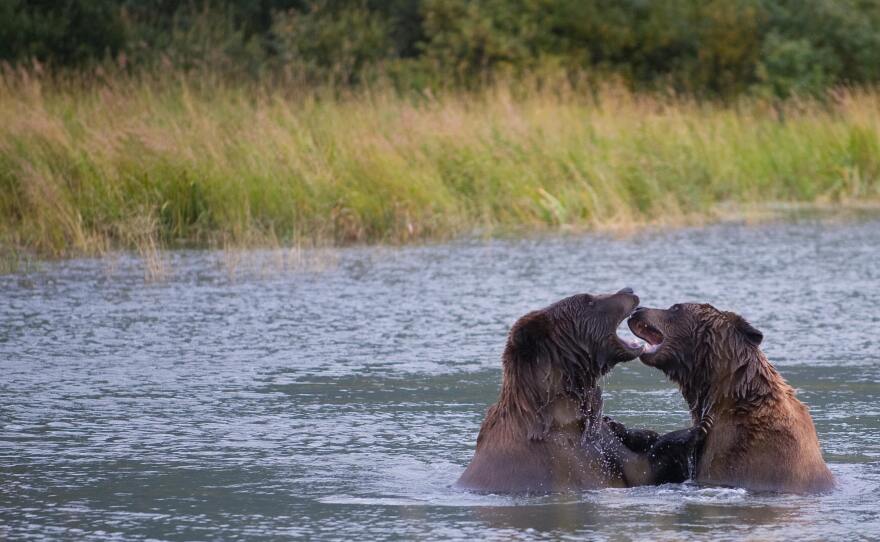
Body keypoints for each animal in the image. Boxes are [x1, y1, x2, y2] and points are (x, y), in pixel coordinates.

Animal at [456, 288, 707, 494]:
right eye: (589, 300)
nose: (629, 290)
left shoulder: (597, 436)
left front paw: (642, 432)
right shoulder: (568, 456)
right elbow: (642, 468)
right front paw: (694, 430)